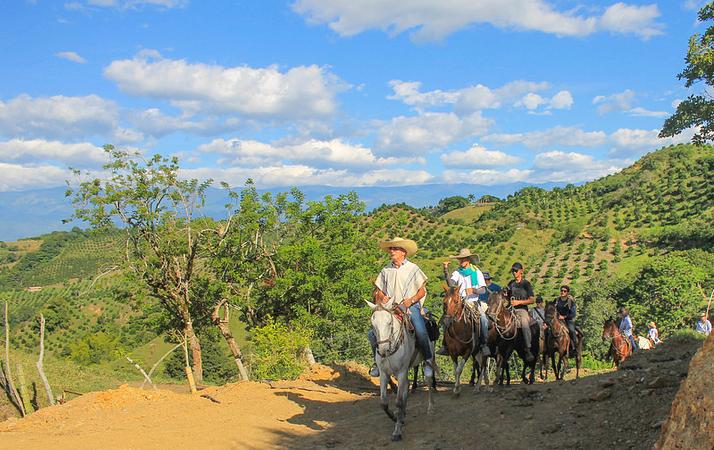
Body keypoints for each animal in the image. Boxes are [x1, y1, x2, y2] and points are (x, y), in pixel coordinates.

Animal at [368, 298, 434, 442]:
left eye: (389, 322)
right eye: (373, 324)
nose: (383, 350)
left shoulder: (401, 371)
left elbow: (398, 402)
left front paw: (397, 432)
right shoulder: (384, 374)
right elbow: (384, 402)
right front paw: (395, 417)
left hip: (429, 358)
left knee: (429, 380)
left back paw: (430, 407)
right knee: (406, 389)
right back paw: (402, 415)